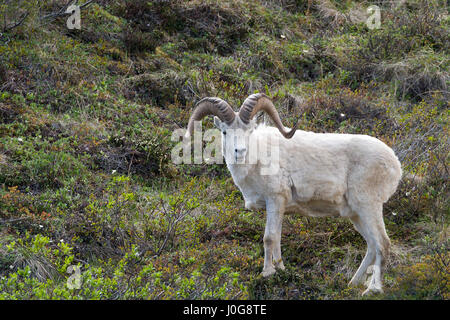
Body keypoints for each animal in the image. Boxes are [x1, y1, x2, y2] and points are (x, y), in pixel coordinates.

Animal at [185, 92, 402, 296]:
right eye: (225, 131)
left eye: (250, 130)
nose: (240, 151)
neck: (256, 161)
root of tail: (394, 163)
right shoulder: (279, 207)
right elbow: (278, 240)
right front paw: (281, 270)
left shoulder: (275, 200)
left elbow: (269, 238)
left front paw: (267, 273)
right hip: (356, 215)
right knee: (372, 246)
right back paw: (352, 283)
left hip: (368, 207)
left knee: (383, 244)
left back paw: (373, 290)